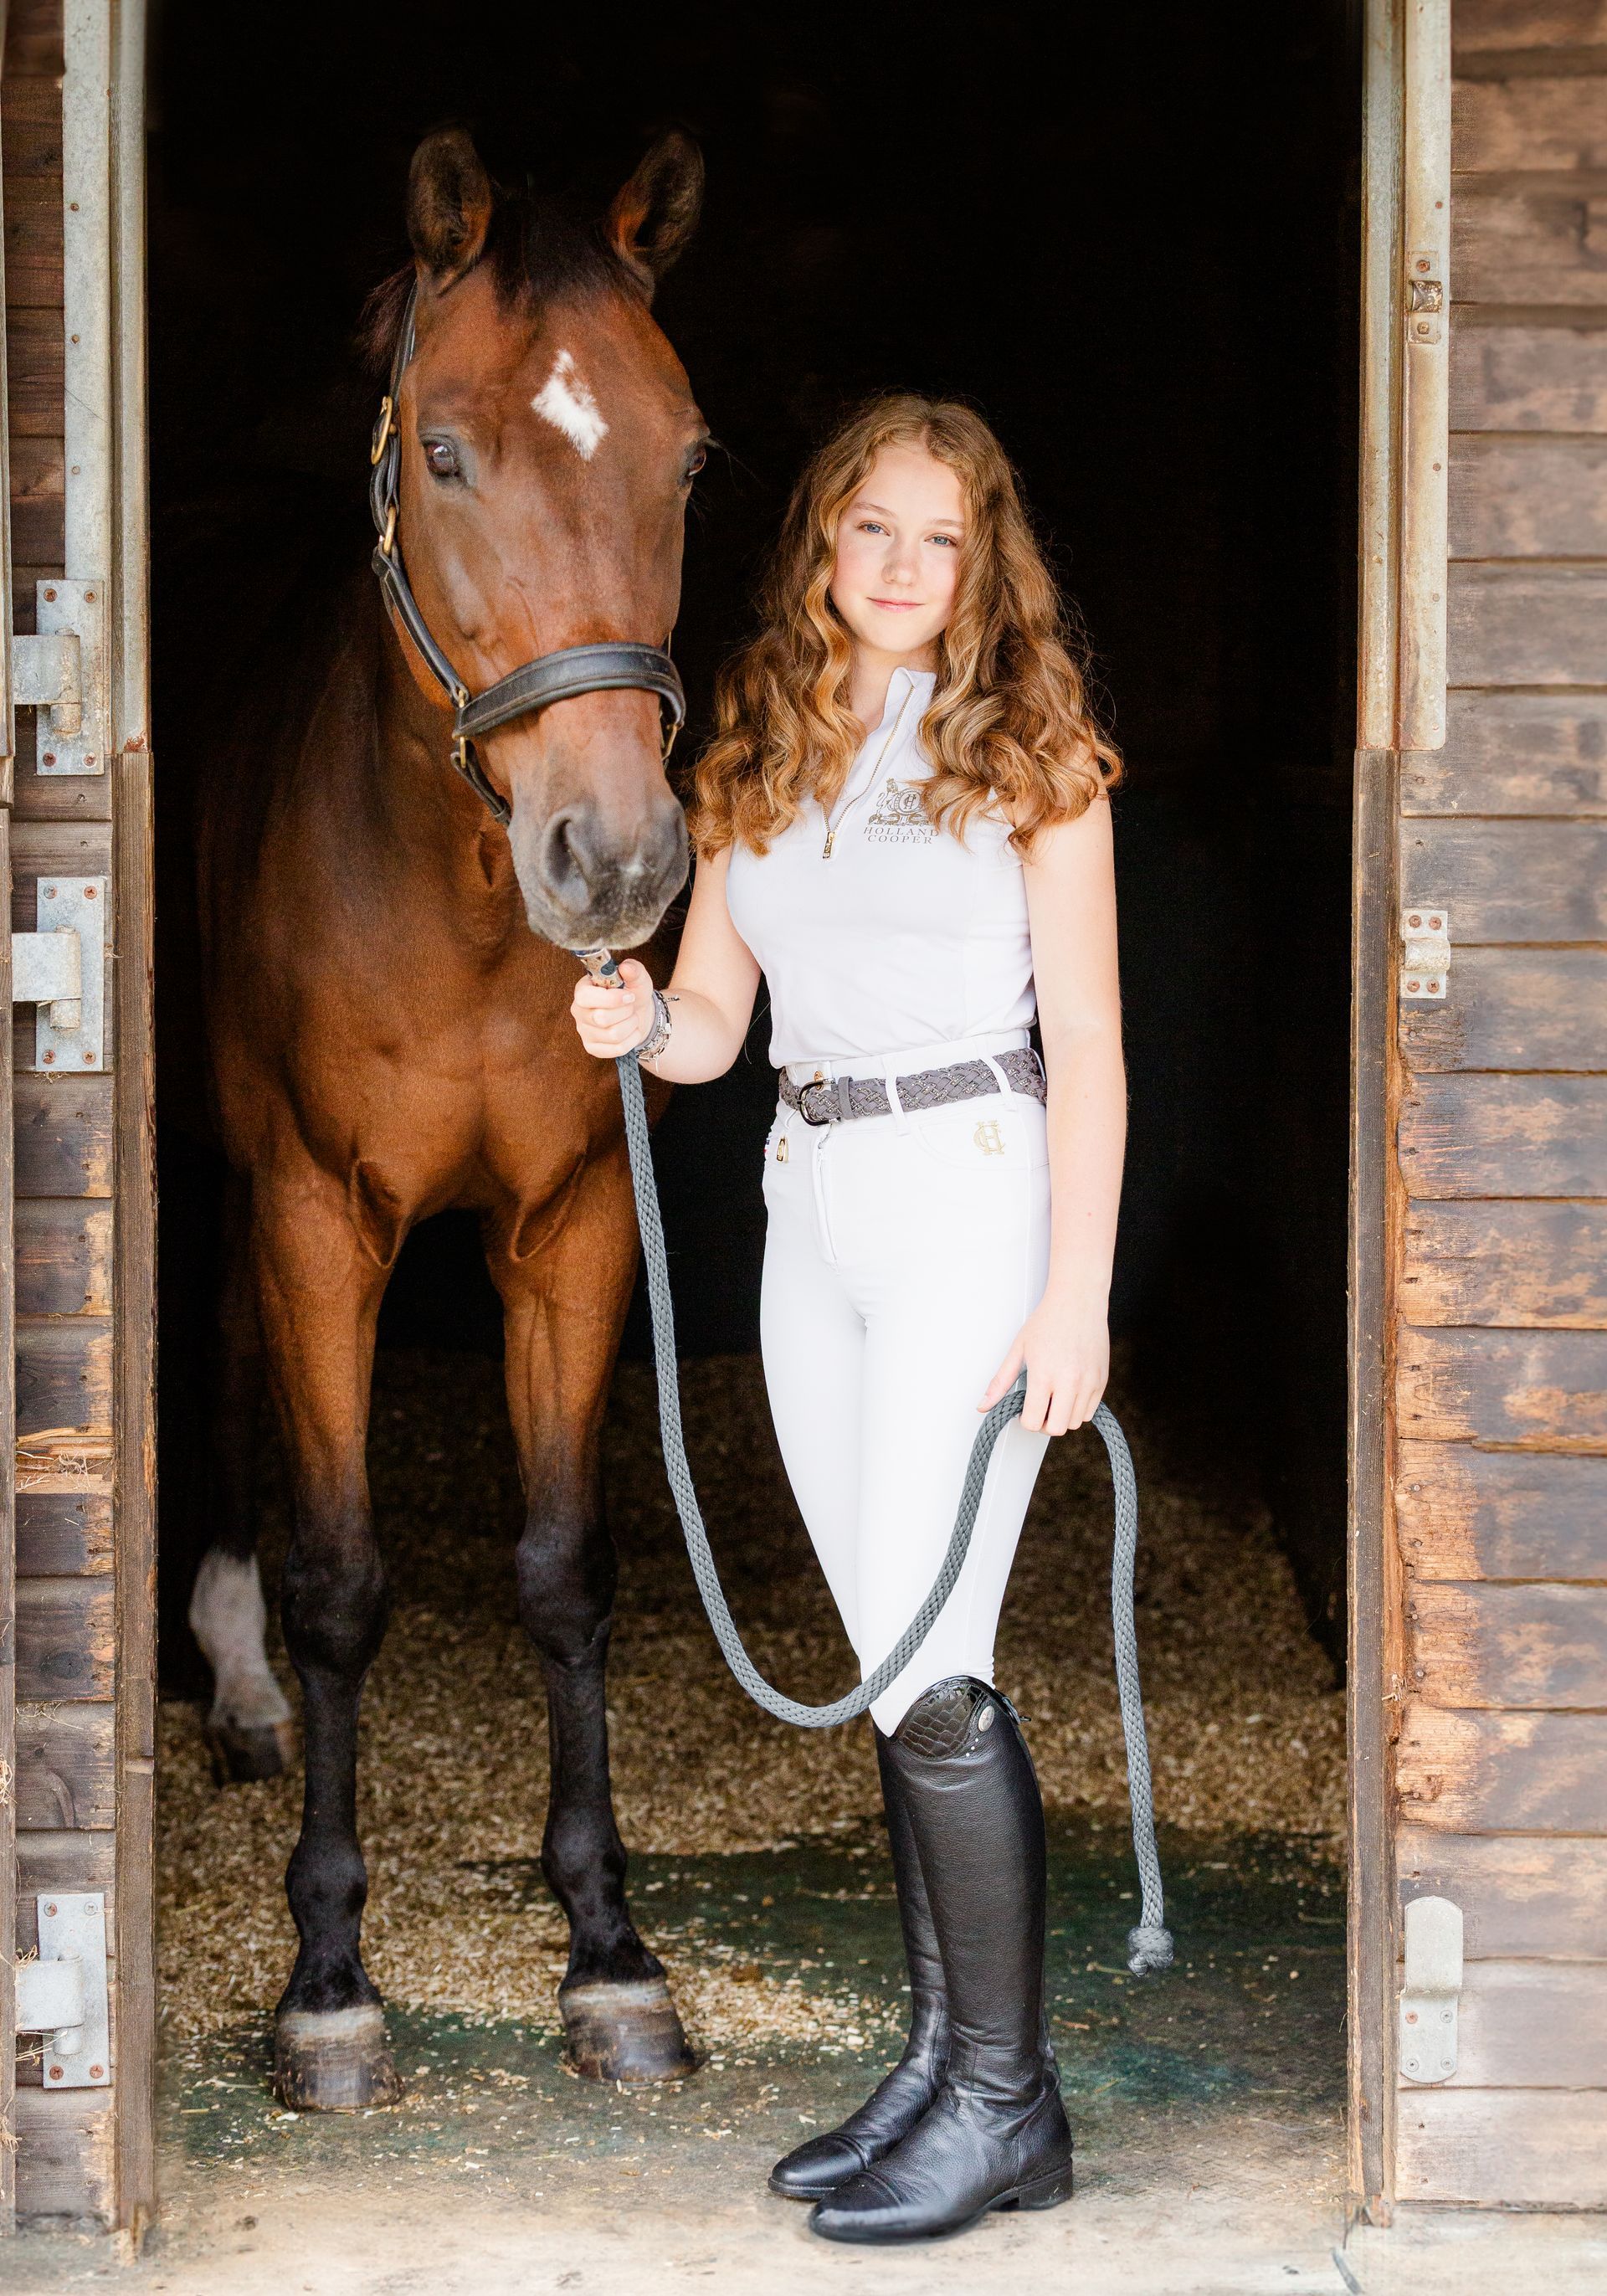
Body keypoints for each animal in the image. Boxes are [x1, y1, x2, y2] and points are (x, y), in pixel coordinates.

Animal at [189, 125, 708, 2109]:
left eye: (689, 452)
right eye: (447, 451)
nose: (615, 857)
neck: (463, 899)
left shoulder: (571, 1226)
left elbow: (566, 1572)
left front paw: (610, 1951)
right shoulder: (320, 1215)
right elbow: (343, 1580)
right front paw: (328, 1978)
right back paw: (240, 1685)